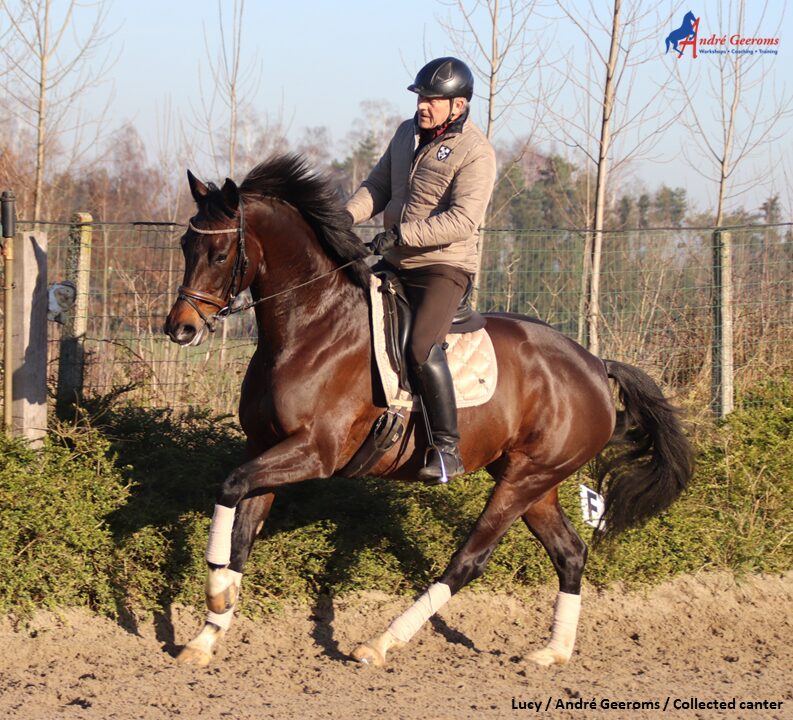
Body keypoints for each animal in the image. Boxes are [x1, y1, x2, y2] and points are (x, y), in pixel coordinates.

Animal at [164, 155, 688, 668]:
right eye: (186, 245)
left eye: (219, 253)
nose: (180, 329)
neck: (312, 326)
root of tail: (595, 365)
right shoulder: (265, 446)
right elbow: (240, 531)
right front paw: (208, 633)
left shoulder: (314, 452)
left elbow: (230, 487)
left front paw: (216, 594)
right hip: (535, 482)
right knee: (571, 553)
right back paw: (552, 653)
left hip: (524, 480)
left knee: (469, 560)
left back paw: (381, 643)